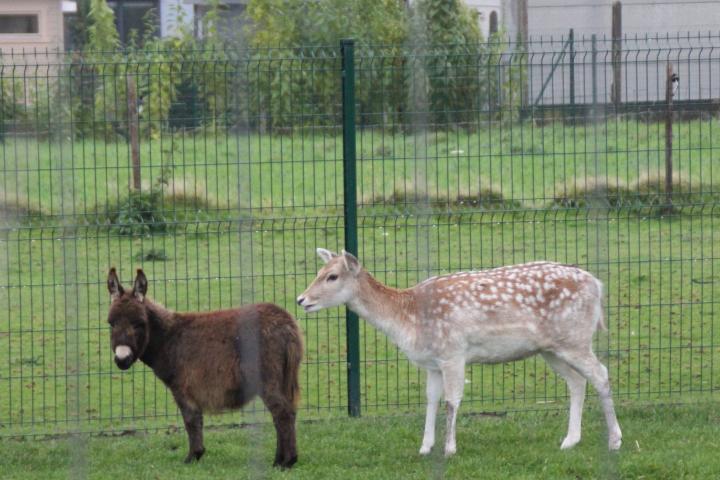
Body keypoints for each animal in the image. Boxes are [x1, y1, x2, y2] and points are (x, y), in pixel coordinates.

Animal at [296, 249, 620, 456]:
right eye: (318, 271)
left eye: (332, 276)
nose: (301, 299)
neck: (407, 319)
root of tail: (598, 284)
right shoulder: (432, 363)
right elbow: (430, 400)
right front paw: (425, 447)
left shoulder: (453, 352)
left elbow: (452, 401)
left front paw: (449, 448)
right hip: (551, 348)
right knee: (577, 381)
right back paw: (570, 441)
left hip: (575, 338)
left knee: (601, 374)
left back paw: (615, 441)